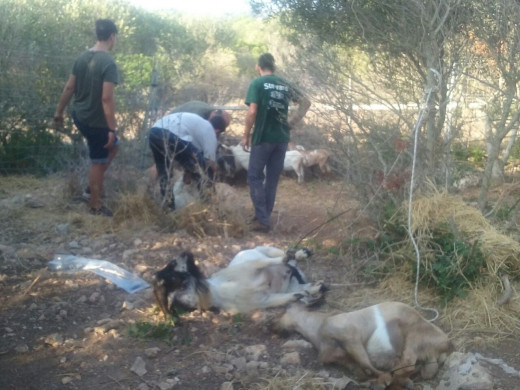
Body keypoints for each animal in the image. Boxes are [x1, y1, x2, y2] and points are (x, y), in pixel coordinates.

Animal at [152, 247, 328, 316]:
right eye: (172, 264)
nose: (184, 251)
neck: (217, 292)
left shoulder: (253, 266)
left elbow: (272, 261)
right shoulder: (265, 299)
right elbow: (288, 297)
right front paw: (302, 296)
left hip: (265, 249)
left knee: (285, 257)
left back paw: (300, 254)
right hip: (289, 283)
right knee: (300, 283)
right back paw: (315, 290)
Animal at [278, 300, 452, 388]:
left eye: (284, 309)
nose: (273, 325)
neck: (319, 325)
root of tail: (446, 345)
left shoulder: (351, 337)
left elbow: (367, 364)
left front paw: (382, 381)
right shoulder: (346, 360)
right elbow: (361, 371)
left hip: (414, 336)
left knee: (408, 363)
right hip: (424, 353)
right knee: (420, 370)